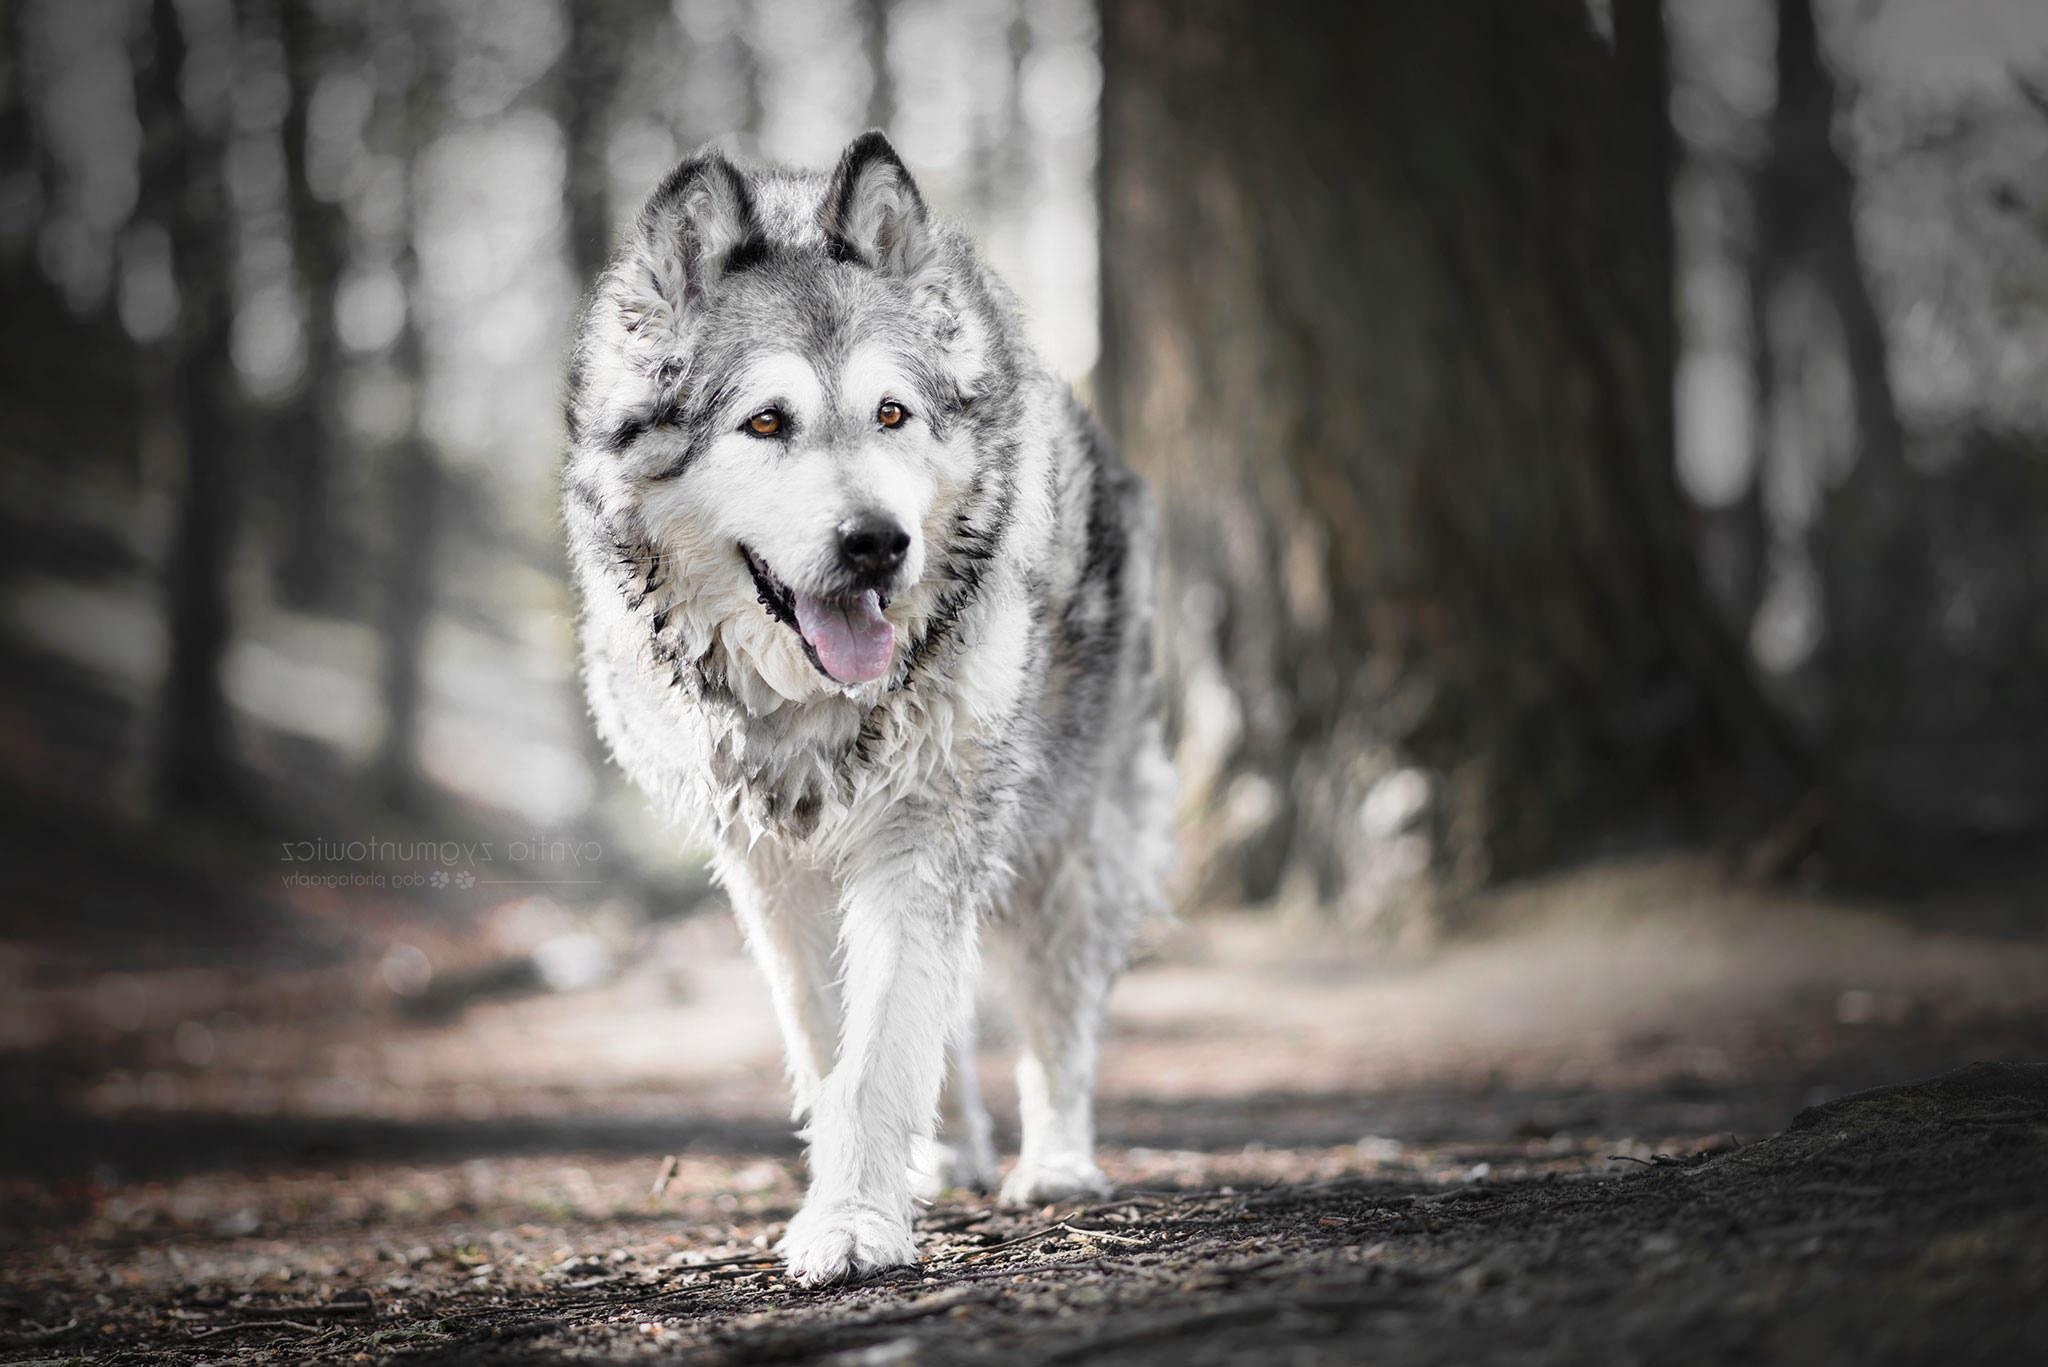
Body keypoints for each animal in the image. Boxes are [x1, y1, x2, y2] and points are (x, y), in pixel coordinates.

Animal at [561, 133, 1179, 1287]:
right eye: (766, 422)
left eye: (892, 413)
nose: (878, 543)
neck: (812, 706)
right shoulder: (768, 866)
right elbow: (834, 1042)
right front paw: (866, 1196)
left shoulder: (923, 832)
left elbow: (884, 1045)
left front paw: (851, 1222)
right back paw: (948, 1154)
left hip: (1068, 843)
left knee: (1056, 1017)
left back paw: (1055, 1165)